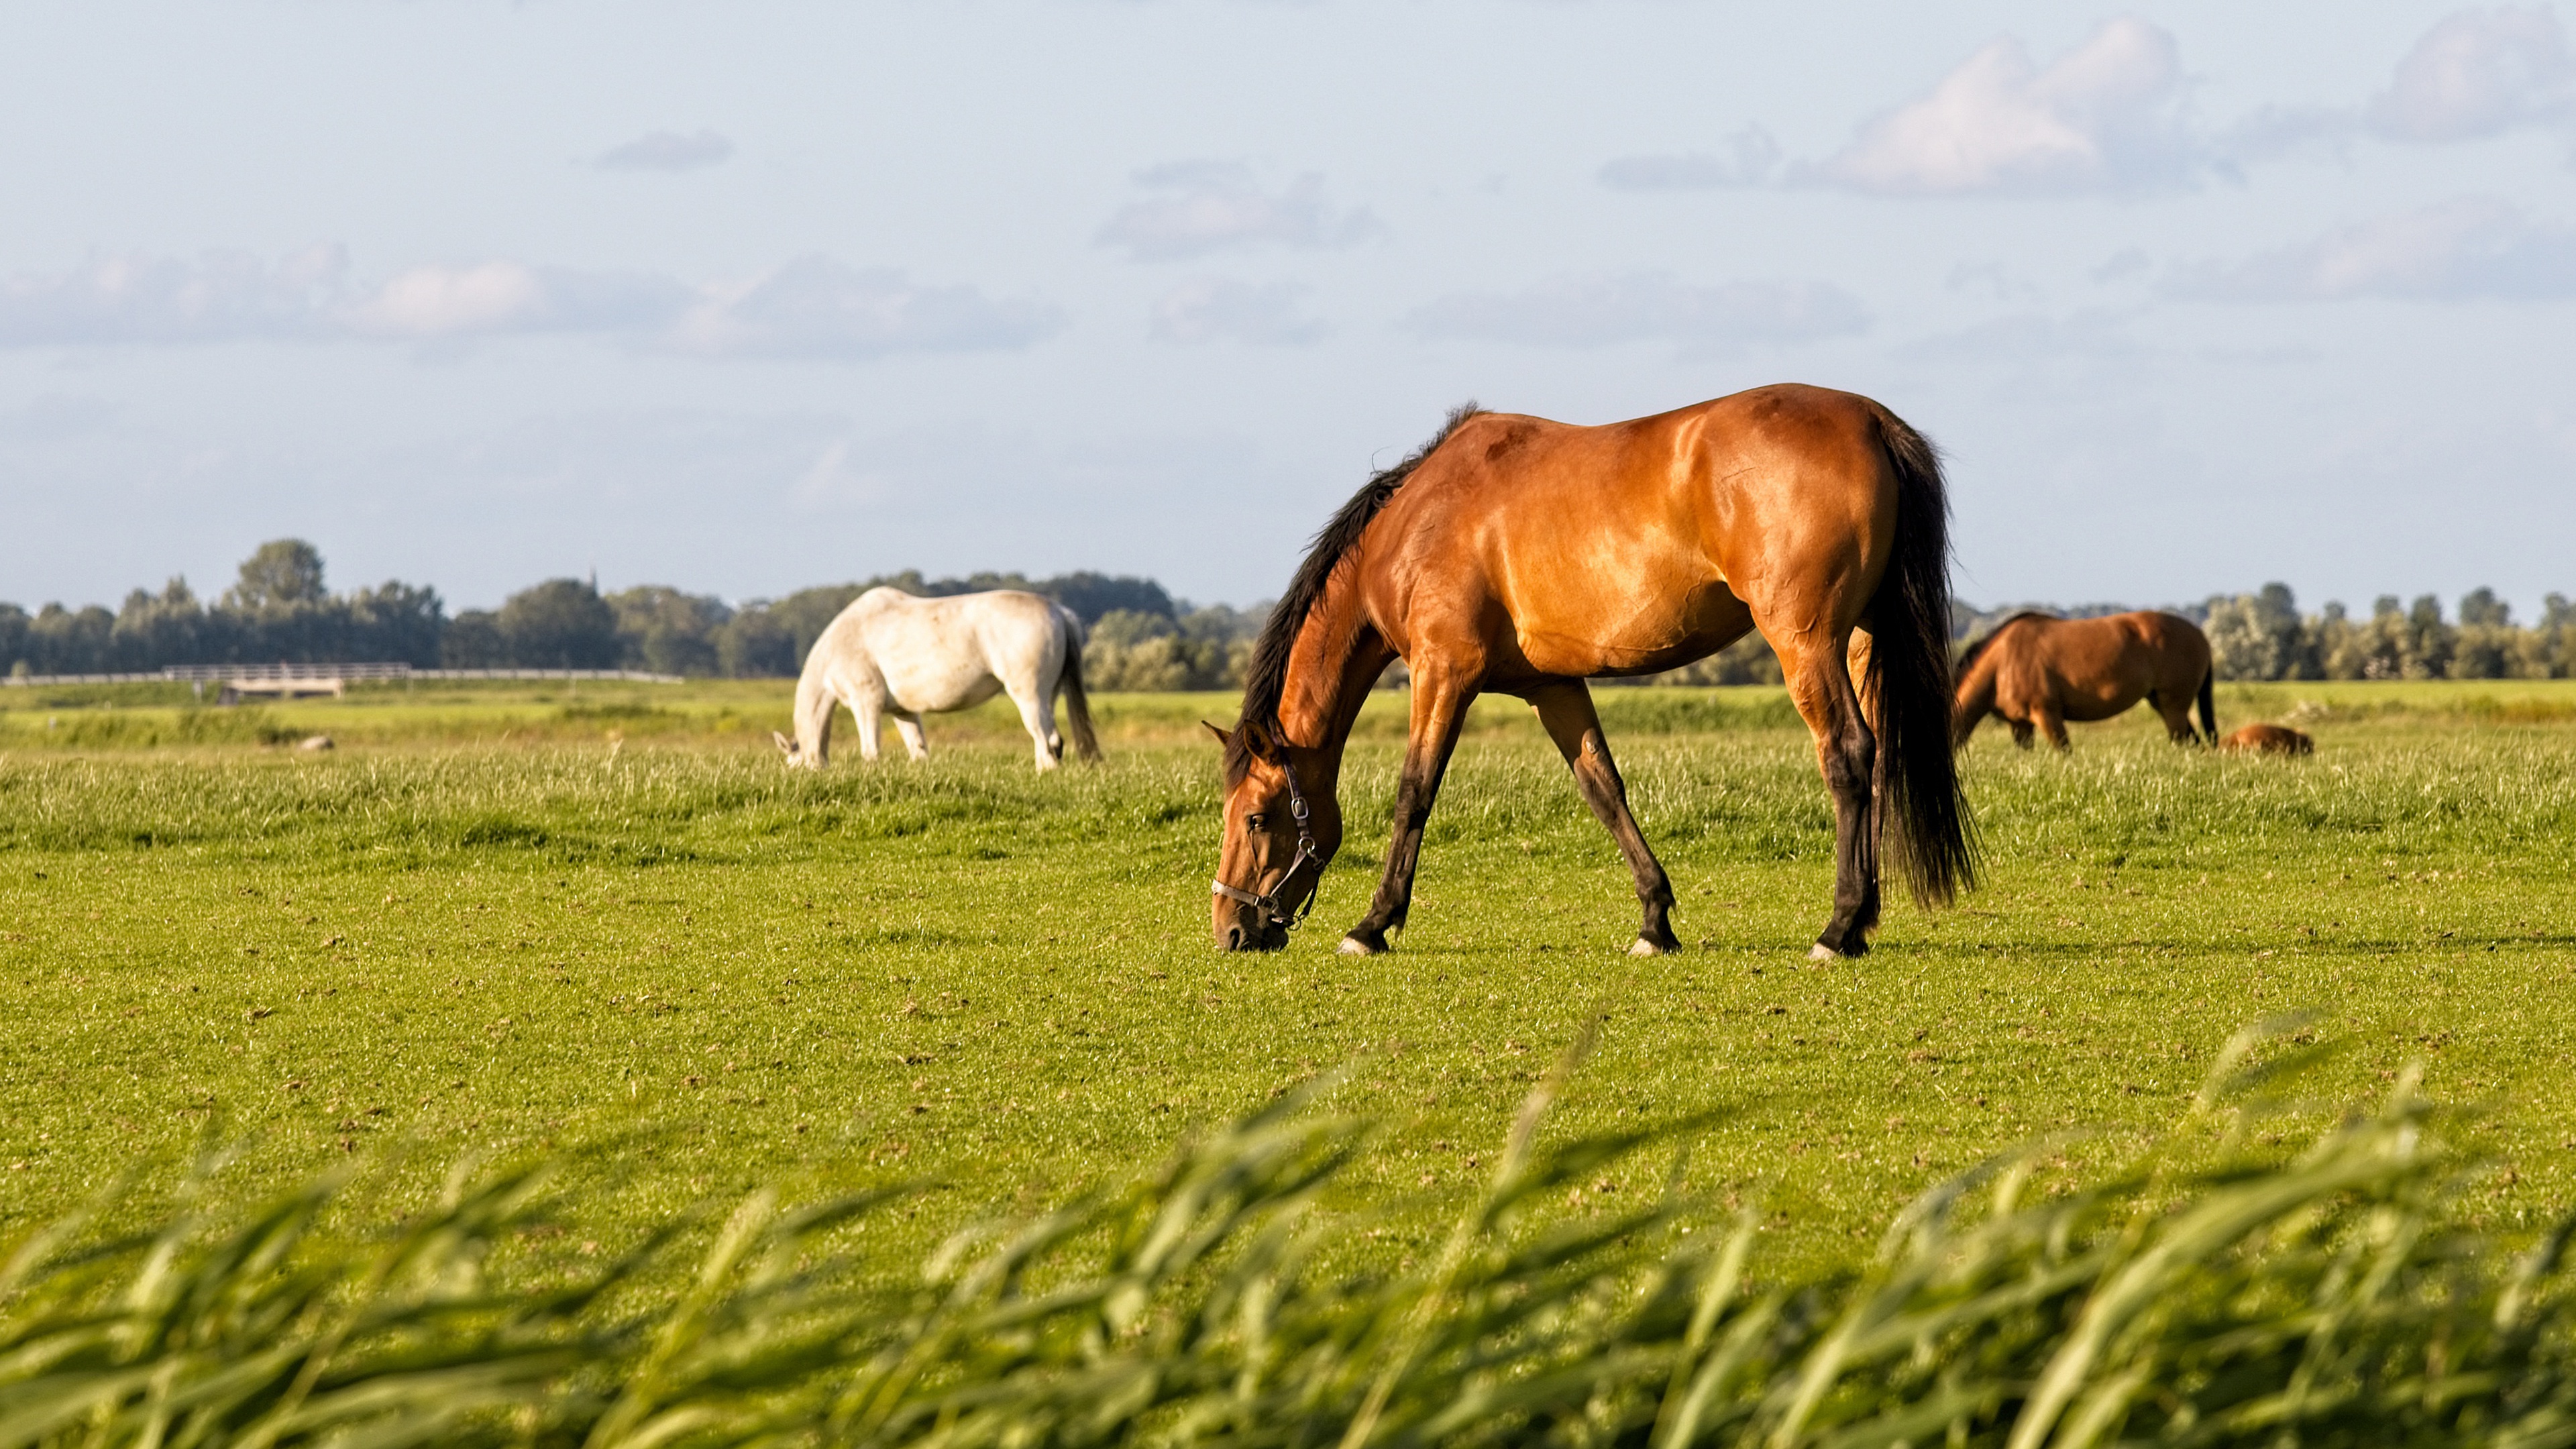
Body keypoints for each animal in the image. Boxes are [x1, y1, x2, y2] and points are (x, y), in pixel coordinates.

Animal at [762, 582, 1087, 768]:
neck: (839, 646)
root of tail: (1058, 611)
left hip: (1029, 697)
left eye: (793, 766)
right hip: (1049, 696)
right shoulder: (904, 712)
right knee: (1052, 740)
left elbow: (871, 751)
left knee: (1044, 739)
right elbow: (918, 750)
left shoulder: (865, 703)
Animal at [1200, 389, 1968, 964]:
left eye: (1256, 817)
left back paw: (1838, 930)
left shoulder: (1444, 672)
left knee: (1848, 755)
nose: (1232, 930)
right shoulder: (1554, 686)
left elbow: (1414, 792)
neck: (1418, 522)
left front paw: (1373, 924)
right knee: (1877, 757)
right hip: (1861, 642)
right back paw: (1861, 924)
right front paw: (1655, 922)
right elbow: (1604, 790)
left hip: (1805, 643)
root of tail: (1872, 422)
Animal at [1947, 606, 2215, 742]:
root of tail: (2200, 634)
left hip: (2173, 706)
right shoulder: (2020, 725)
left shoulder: (2047, 715)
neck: (2004, 663)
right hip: (2160, 702)